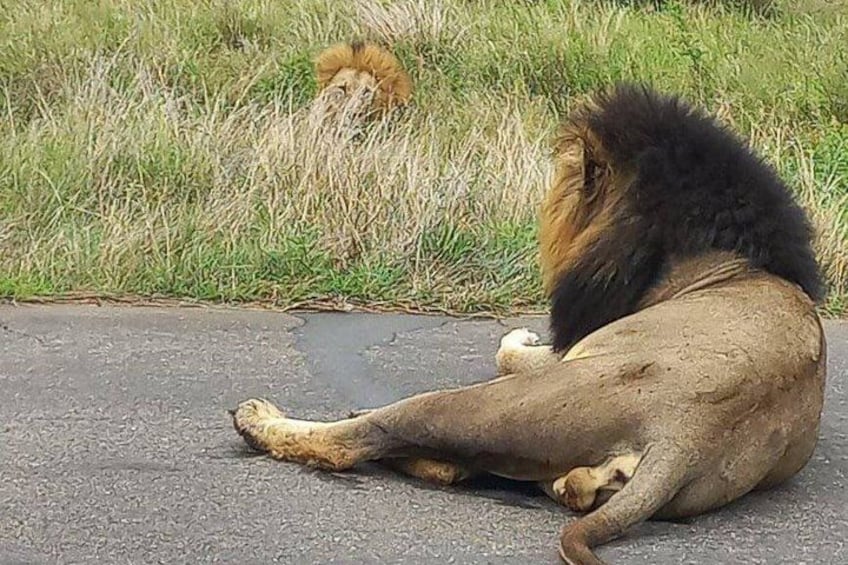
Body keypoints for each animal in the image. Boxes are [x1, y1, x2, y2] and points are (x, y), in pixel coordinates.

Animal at [231, 84, 827, 564]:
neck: (722, 261)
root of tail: (689, 433)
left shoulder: (574, 346)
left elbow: (508, 350)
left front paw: (521, 333)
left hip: (498, 403)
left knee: (362, 441)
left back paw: (264, 418)